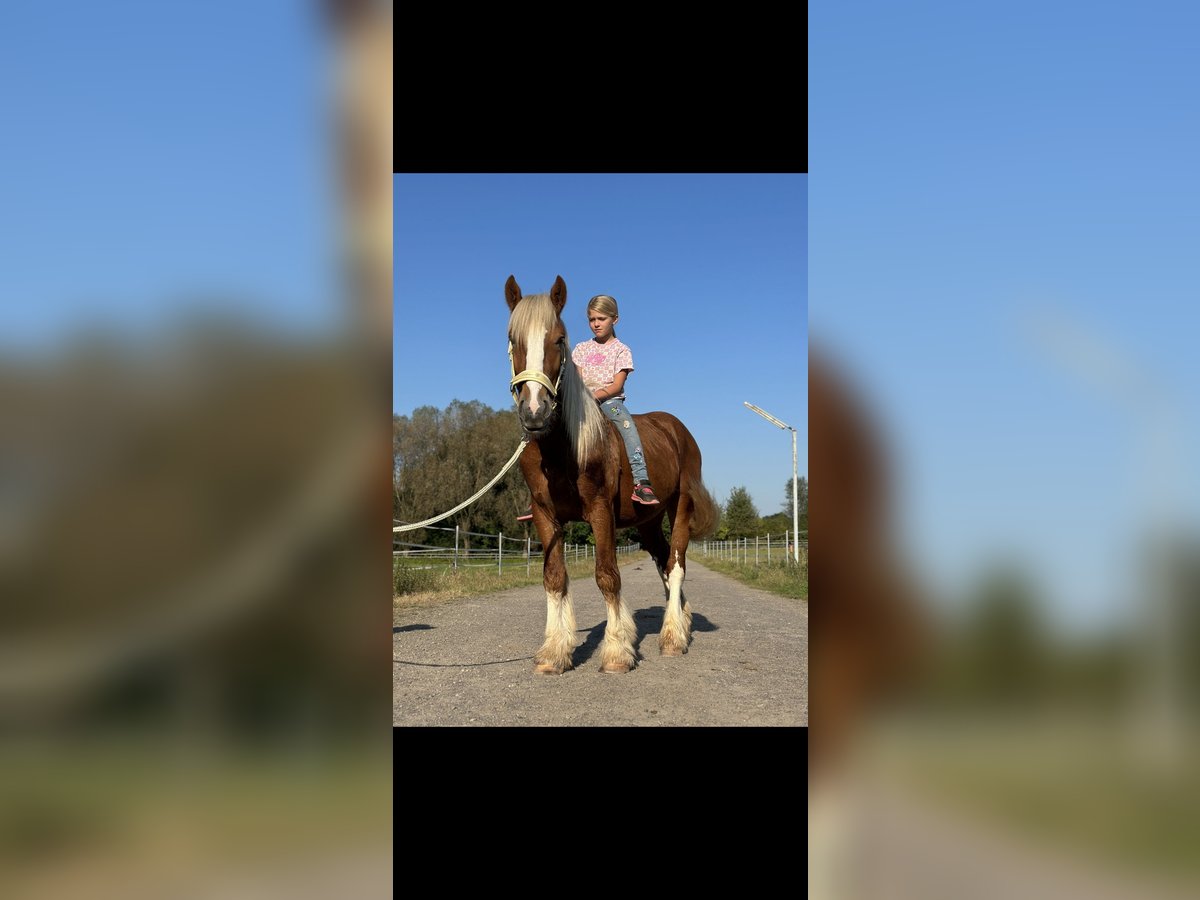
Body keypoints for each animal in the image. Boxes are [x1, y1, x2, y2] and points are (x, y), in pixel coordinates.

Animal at [504, 274, 715, 676]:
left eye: (559, 339)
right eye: (512, 339)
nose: (535, 411)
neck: (563, 448)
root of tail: (678, 430)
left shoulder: (601, 512)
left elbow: (607, 576)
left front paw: (617, 651)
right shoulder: (544, 516)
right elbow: (554, 578)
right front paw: (554, 652)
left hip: (679, 507)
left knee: (676, 565)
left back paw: (673, 638)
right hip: (648, 523)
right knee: (664, 565)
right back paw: (681, 620)